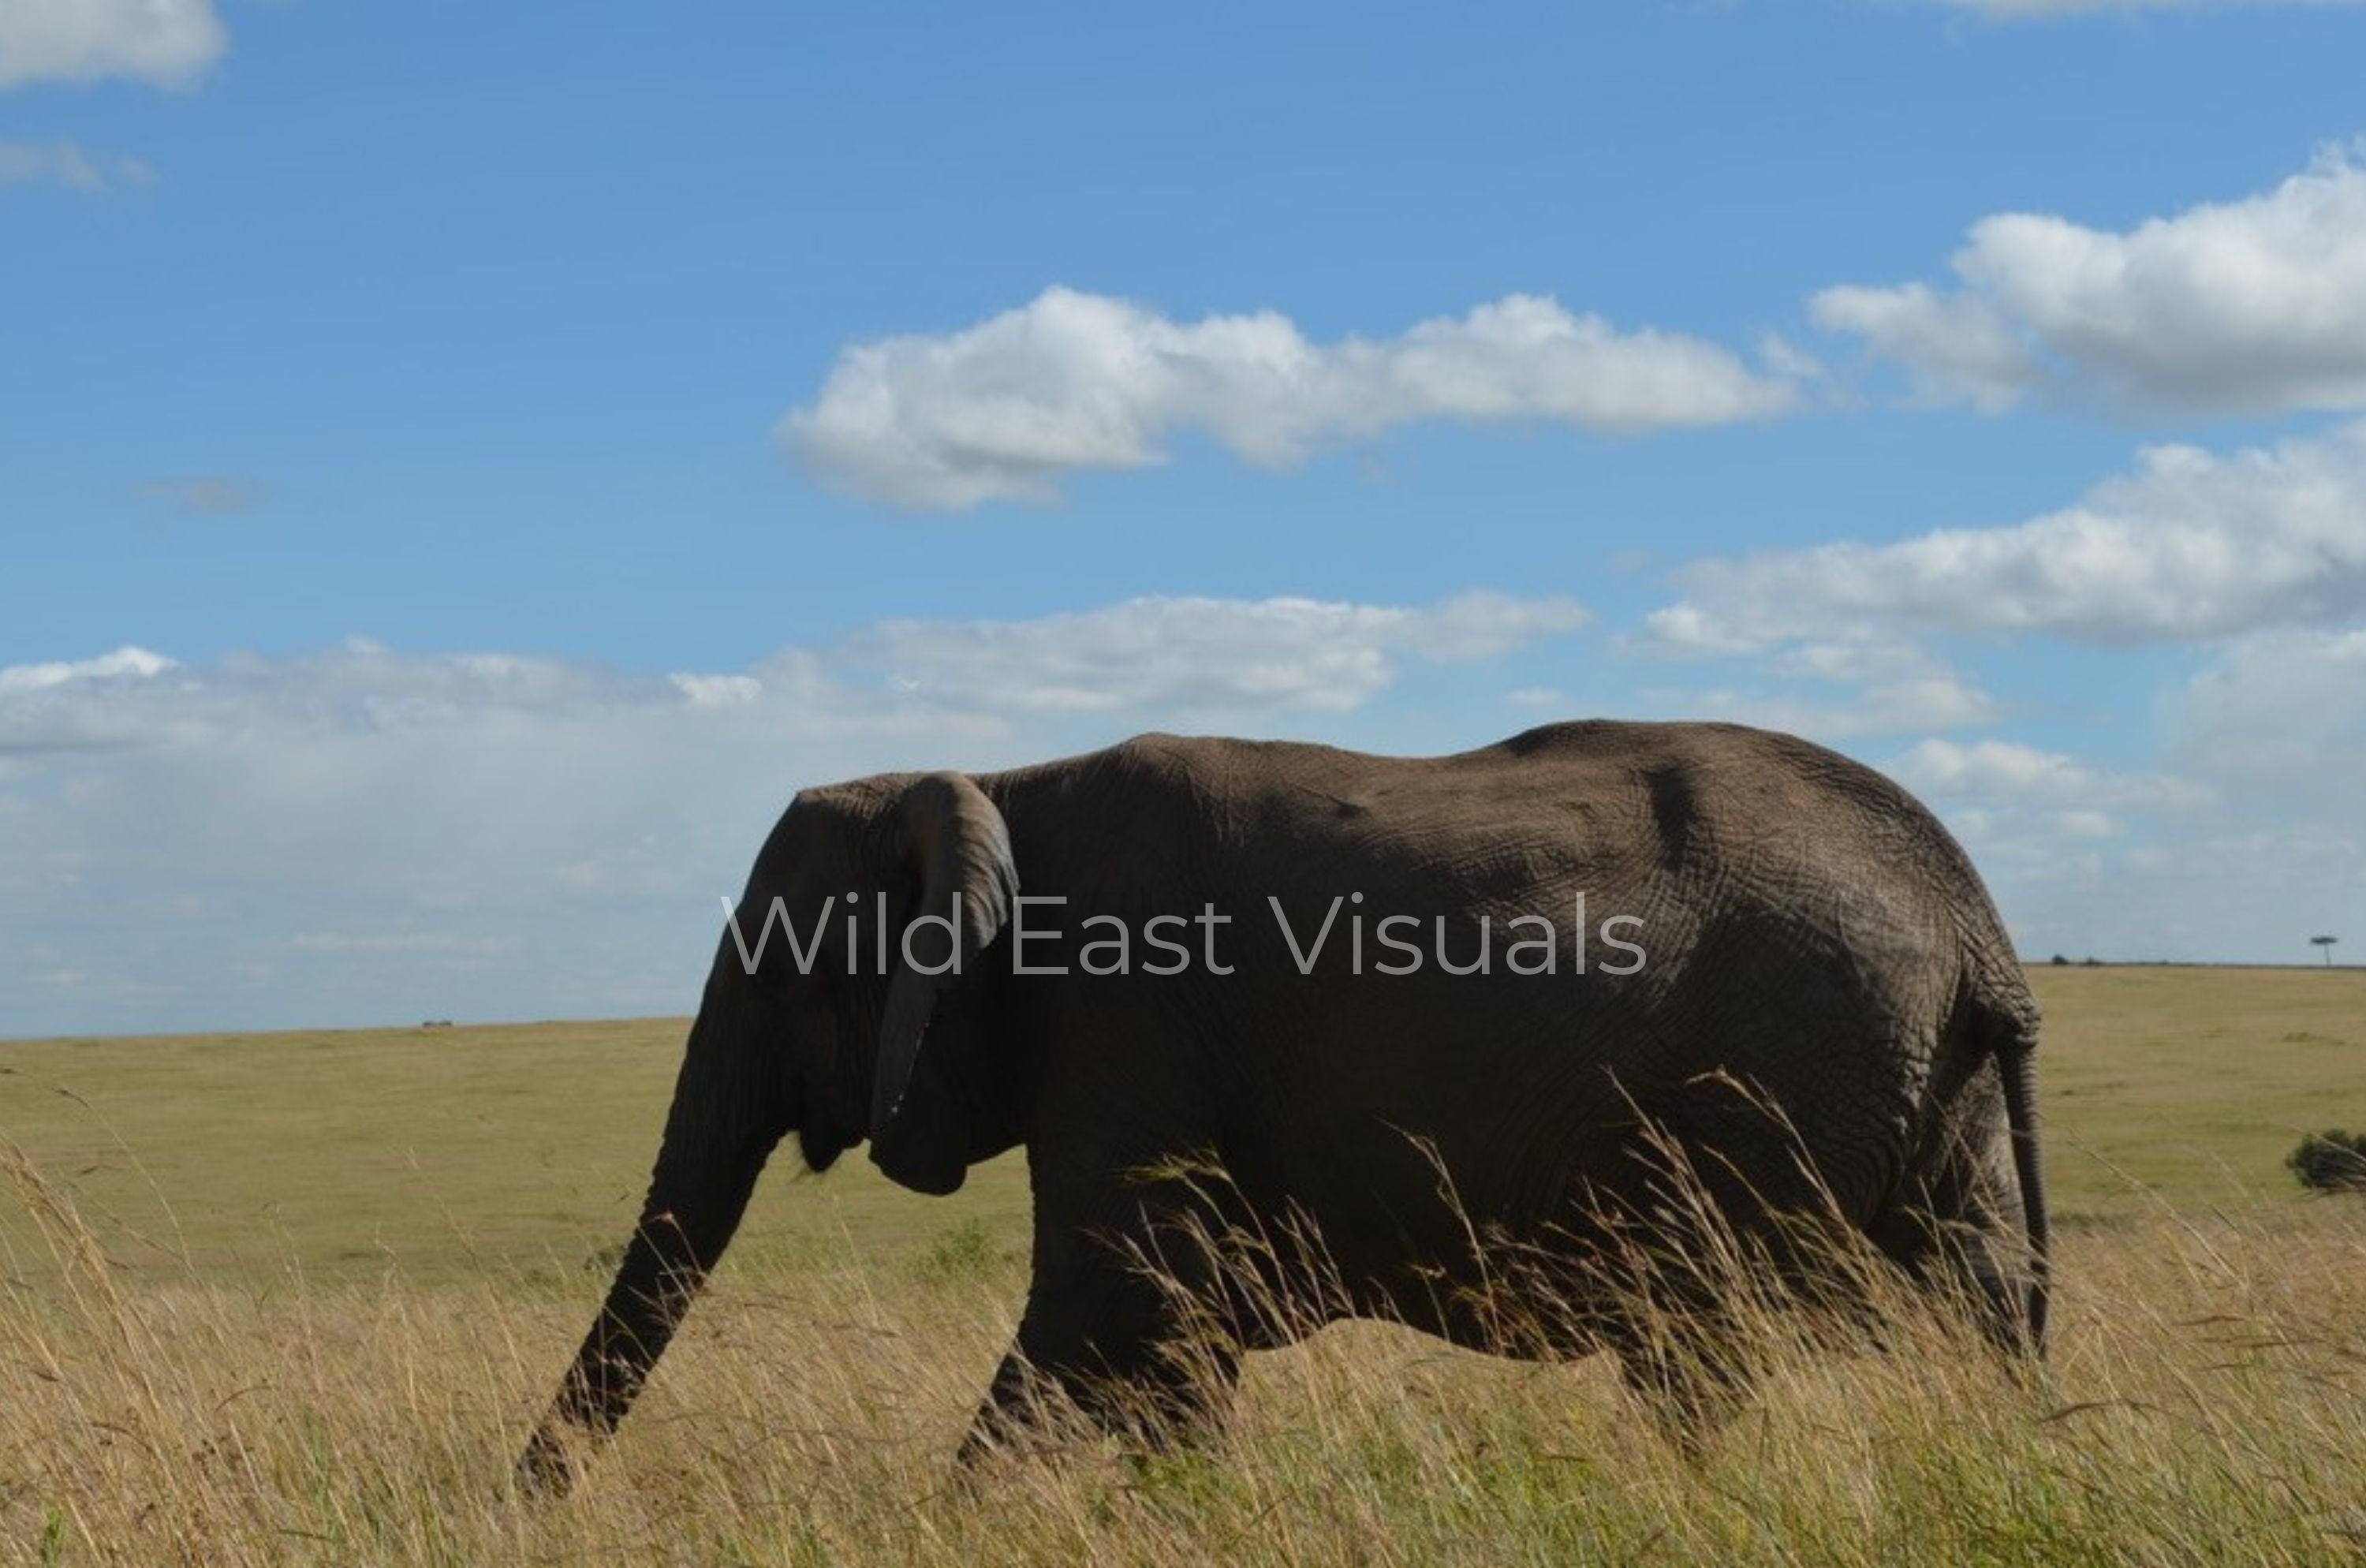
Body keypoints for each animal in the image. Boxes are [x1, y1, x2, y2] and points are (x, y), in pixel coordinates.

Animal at [519, 720, 2045, 1488]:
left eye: (780, 976)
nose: (523, 1503)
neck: (995, 785)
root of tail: (1980, 932)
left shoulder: (1130, 1013)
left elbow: (1105, 1300)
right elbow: (1169, 1338)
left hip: (1781, 1077)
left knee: (1697, 1331)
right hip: (1917, 1086)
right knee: (1969, 1290)